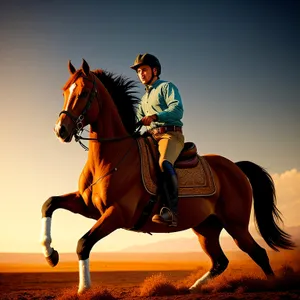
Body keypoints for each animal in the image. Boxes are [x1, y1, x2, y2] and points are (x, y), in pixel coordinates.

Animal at [40, 58, 296, 292]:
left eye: (83, 93)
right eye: (64, 91)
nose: (60, 130)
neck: (112, 156)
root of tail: (235, 167)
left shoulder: (117, 214)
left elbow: (83, 243)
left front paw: (84, 289)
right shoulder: (90, 207)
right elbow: (49, 204)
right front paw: (49, 254)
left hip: (236, 226)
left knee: (259, 253)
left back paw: (273, 285)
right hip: (206, 228)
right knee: (220, 261)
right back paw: (193, 288)